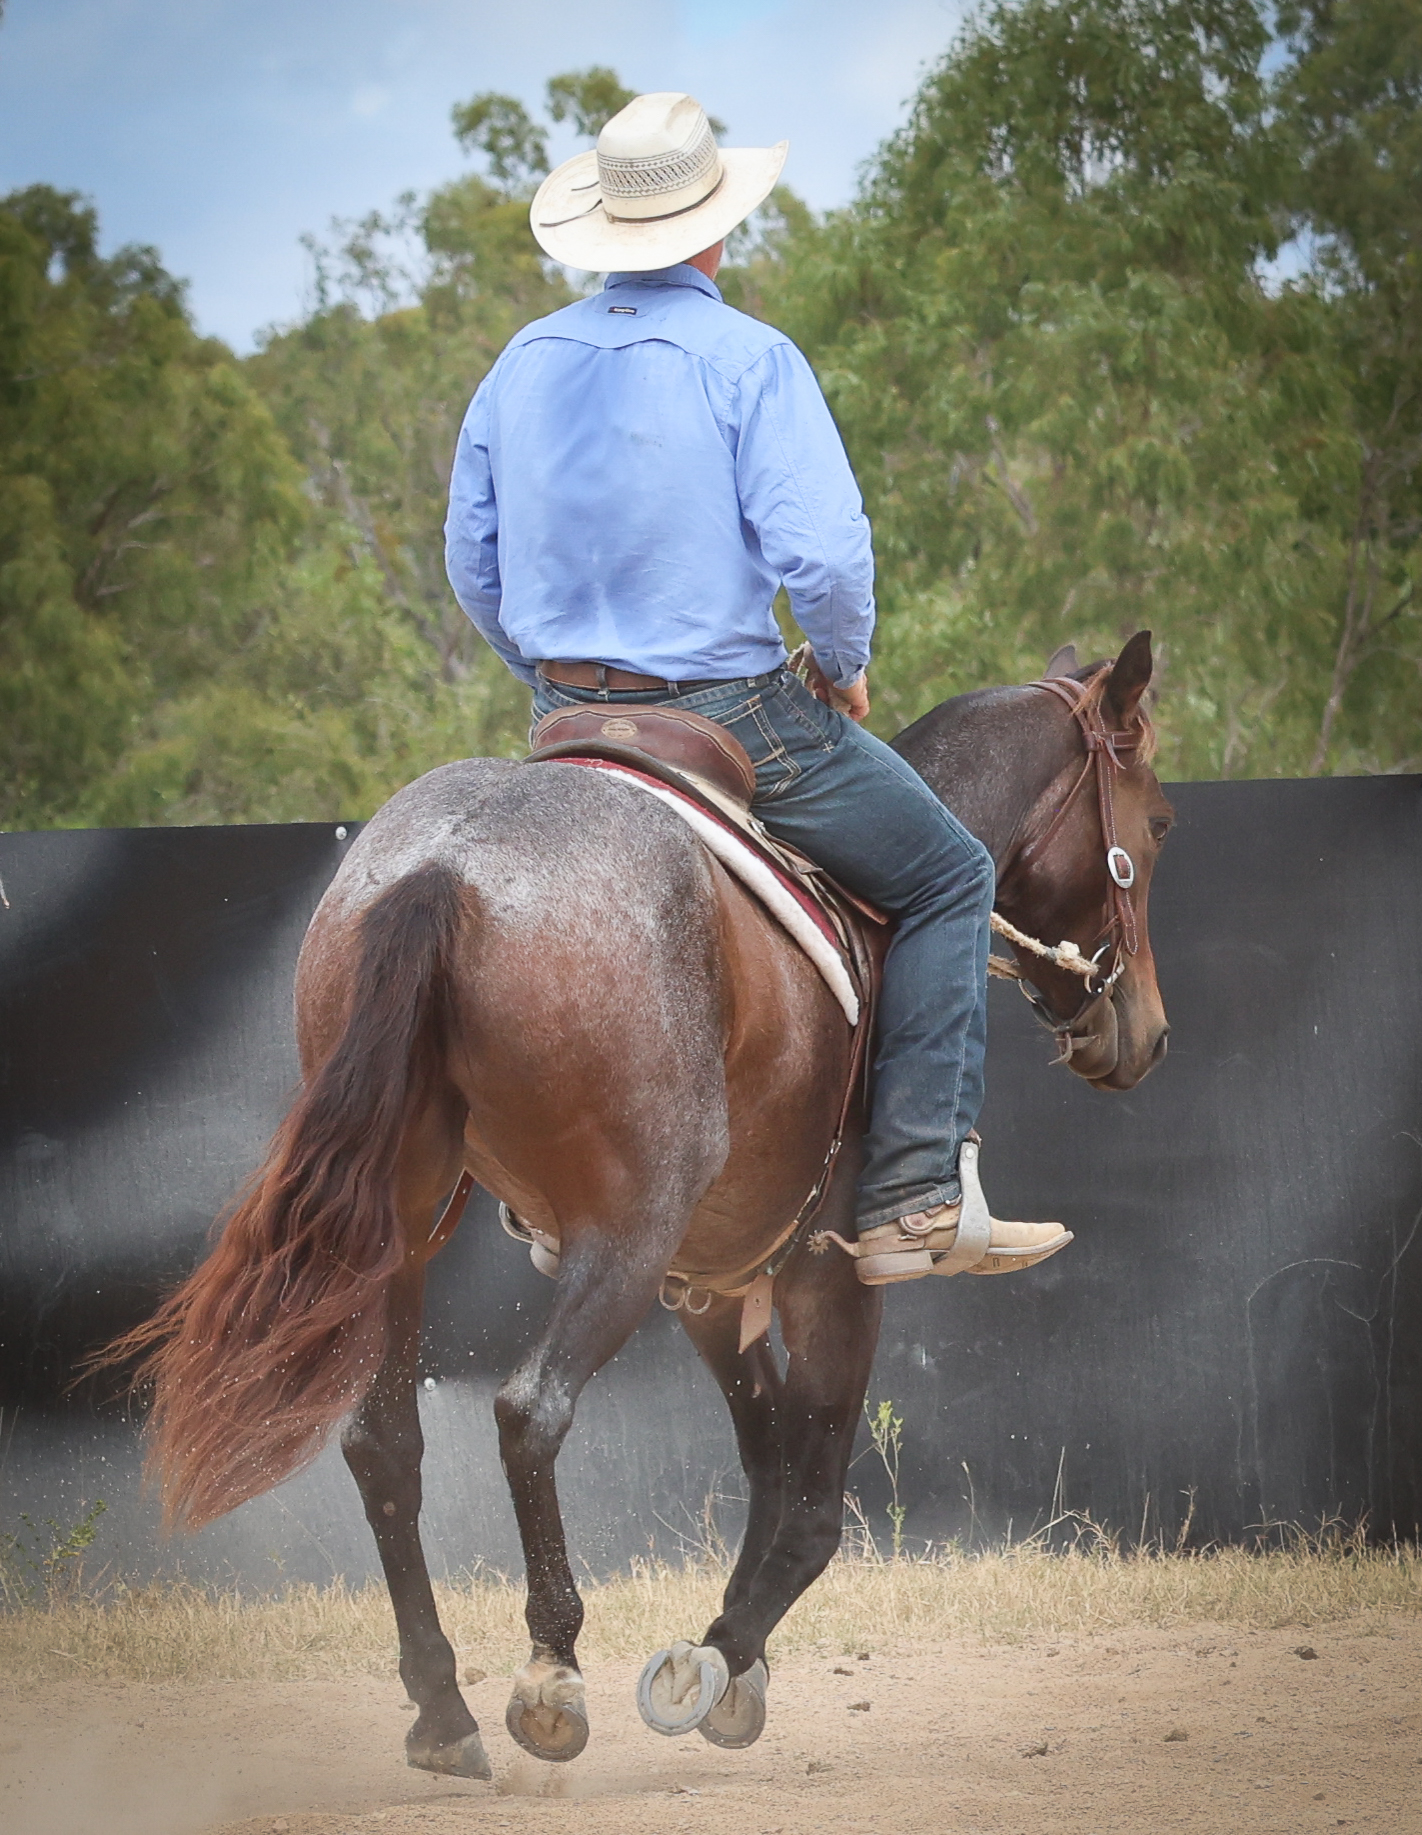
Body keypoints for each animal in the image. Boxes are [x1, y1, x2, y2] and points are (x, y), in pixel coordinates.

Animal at [108, 632, 1172, 1779]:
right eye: (1158, 822)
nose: (1145, 1031)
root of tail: (450, 863)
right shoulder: (829, 1267)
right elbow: (813, 1500)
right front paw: (715, 1660)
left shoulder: (709, 1284)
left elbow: (770, 1449)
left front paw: (742, 1664)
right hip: (622, 1235)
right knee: (530, 1408)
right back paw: (550, 1670)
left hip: (404, 1230)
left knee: (381, 1440)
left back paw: (443, 1706)